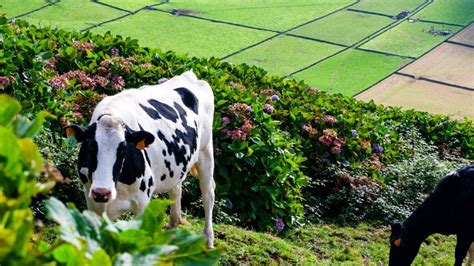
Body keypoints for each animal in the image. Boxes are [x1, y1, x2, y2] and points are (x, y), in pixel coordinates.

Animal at [64, 70, 215, 247]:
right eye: (90, 147)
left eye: (123, 149)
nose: (102, 192)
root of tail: (189, 75)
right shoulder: (91, 200)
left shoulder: (142, 203)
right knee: (176, 189)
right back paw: (173, 224)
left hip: (206, 151)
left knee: (208, 194)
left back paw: (208, 239)